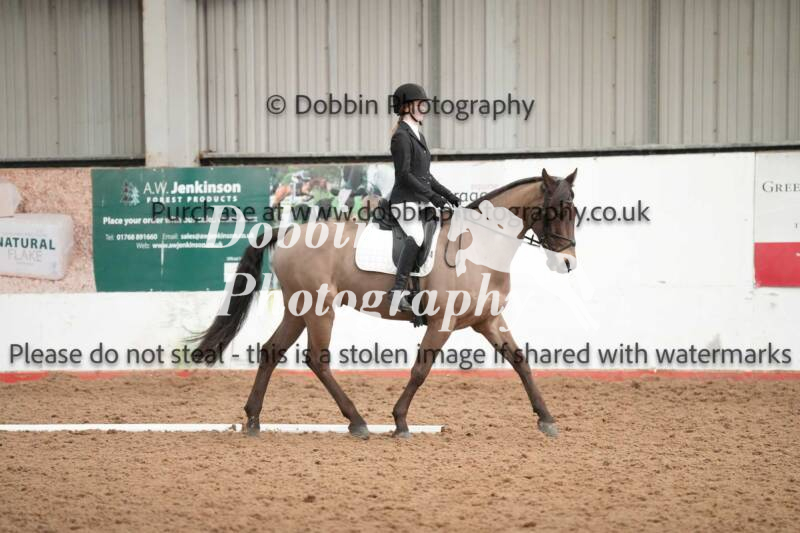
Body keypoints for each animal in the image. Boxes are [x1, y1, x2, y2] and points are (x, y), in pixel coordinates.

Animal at [193, 168, 578, 439]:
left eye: (574, 212)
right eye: (556, 211)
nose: (568, 264)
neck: (479, 247)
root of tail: (287, 234)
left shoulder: (488, 320)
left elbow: (521, 362)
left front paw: (547, 419)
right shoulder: (443, 322)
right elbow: (421, 370)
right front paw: (401, 422)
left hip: (298, 310)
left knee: (271, 352)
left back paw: (253, 420)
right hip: (319, 309)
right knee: (317, 360)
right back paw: (357, 421)